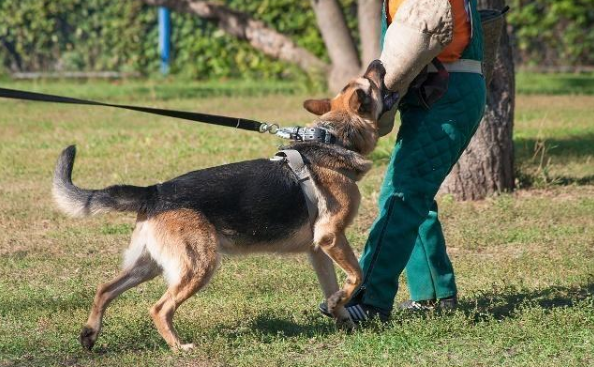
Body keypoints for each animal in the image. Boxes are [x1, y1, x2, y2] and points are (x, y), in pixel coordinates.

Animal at [53, 61, 390, 354]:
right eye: (371, 82)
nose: (378, 62)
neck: (332, 138)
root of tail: (154, 192)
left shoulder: (318, 249)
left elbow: (334, 286)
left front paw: (340, 314)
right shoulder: (332, 237)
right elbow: (357, 274)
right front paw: (341, 303)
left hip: (148, 265)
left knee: (105, 289)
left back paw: (90, 333)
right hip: (198, 265)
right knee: (159, 308)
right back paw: (179, 347)